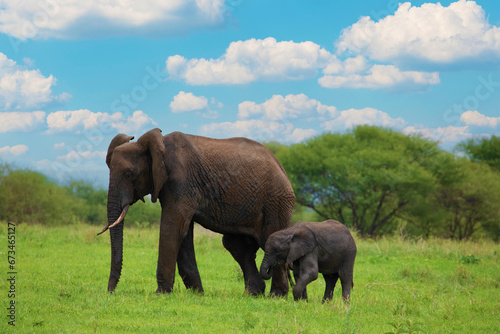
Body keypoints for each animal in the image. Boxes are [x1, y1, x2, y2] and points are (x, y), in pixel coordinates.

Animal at [95, 129, 294, 296]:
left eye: (130, 174)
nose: (111, 292)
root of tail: (281, 167)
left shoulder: (181, 181)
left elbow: (171, 229)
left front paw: (160, 294)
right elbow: (183, 234)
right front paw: (197, 294)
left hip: (275, 202)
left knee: (270, 241)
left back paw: (277, 295)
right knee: (236, 246)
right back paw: (253, 294)